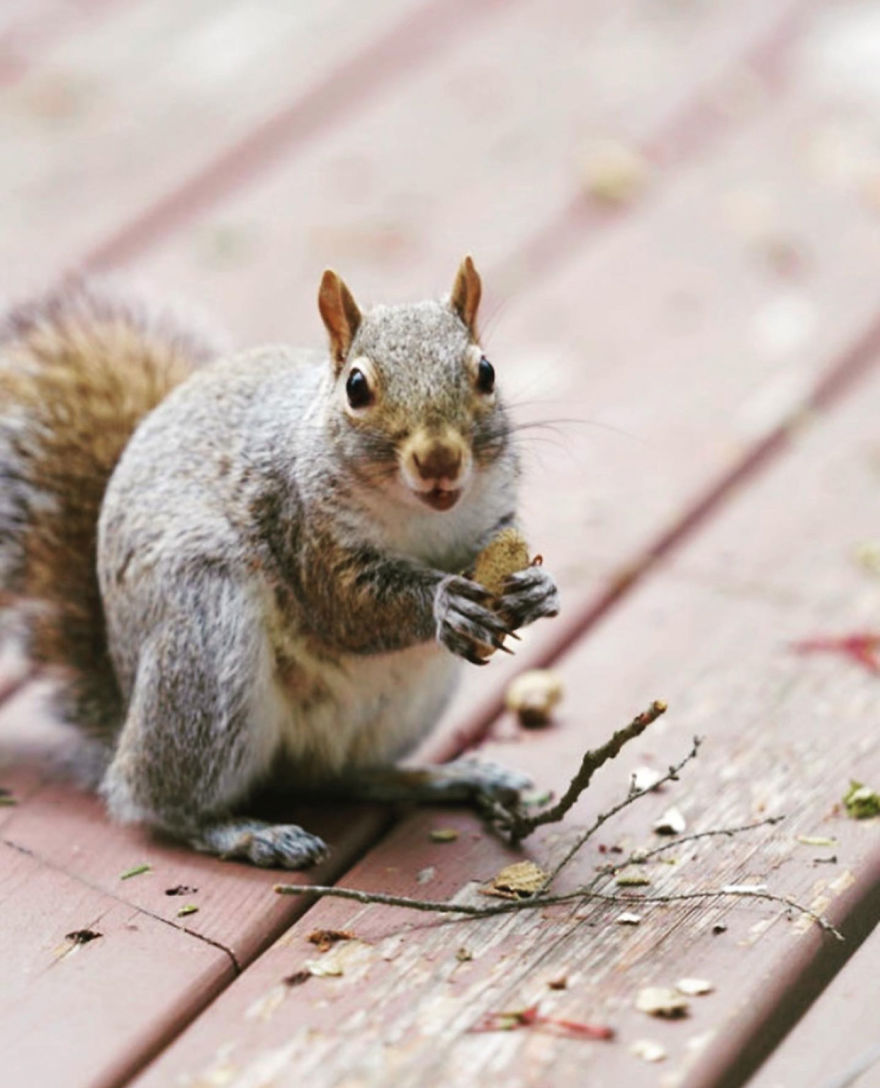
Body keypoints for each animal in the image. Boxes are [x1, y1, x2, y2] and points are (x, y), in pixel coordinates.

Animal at [0, 258, 559, 868]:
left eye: (486, 371)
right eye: (356, 387)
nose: (439, 460)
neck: (422, 517)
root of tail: (124, 706)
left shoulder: (491, 515)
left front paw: (537, 588)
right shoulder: (301, 528)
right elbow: (350, 608)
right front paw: (443, 602)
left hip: (405, 704)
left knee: (342, 777)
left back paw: (445, 778)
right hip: (206, 649)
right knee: (155, 801)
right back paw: (246, 832)